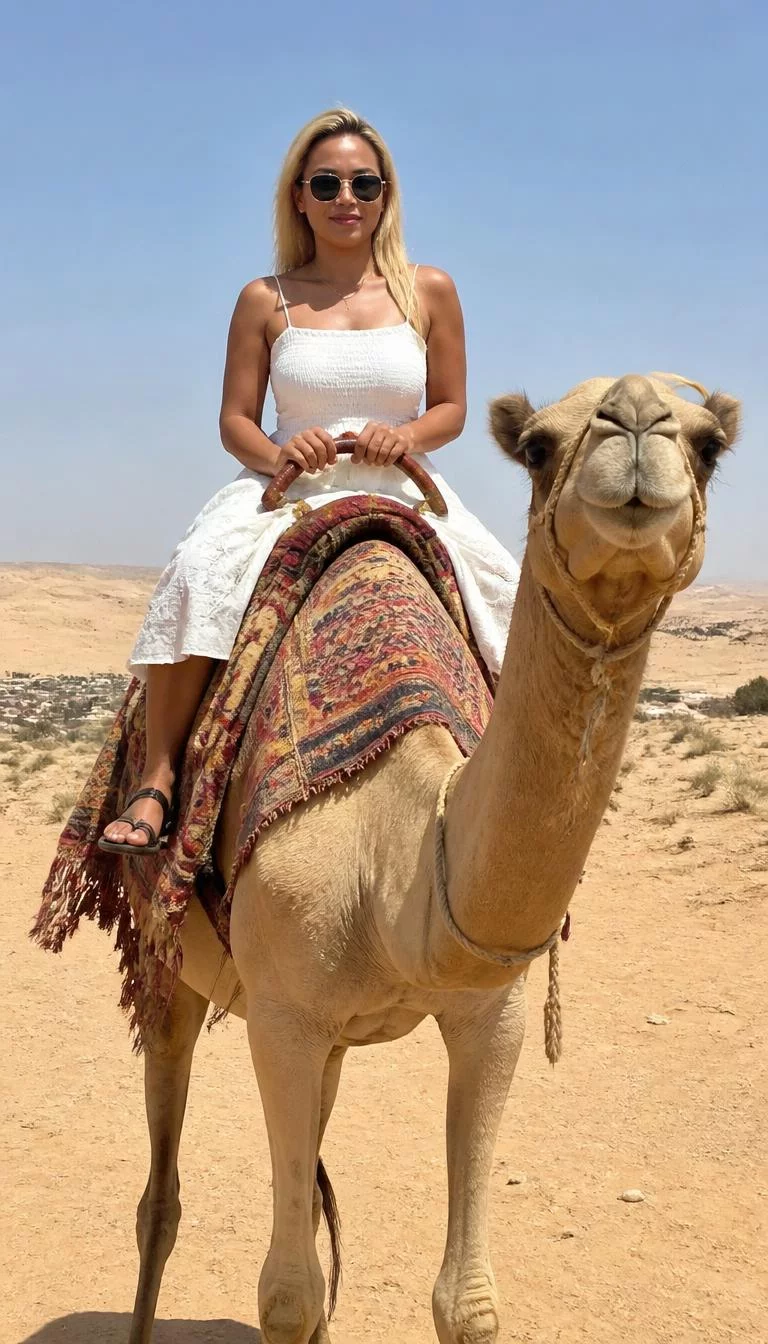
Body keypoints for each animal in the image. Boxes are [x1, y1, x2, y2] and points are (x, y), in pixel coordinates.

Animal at [127, 373, 739, 1344]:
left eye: (711, 442)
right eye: (538, 446)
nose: (637, 415)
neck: (400, 859)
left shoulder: (492, 1017)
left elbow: (467, 1298)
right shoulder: (283, 1018)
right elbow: (286, 1295)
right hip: (170, 966)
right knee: (162, 1197)